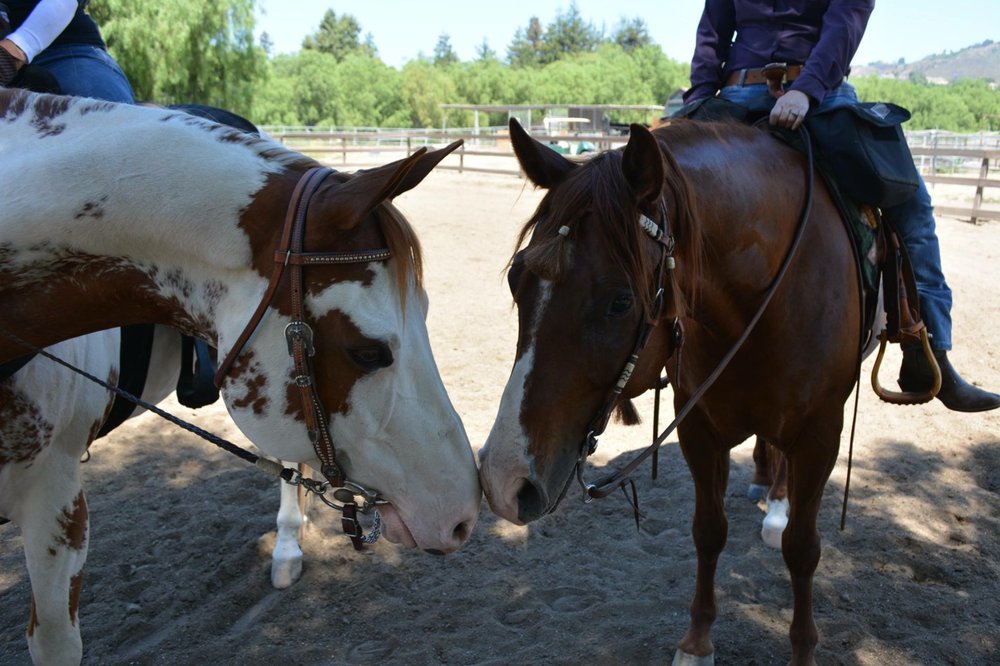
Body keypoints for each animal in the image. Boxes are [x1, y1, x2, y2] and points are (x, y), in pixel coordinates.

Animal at [479, 118, 863, 665]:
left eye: (621, 301)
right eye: (516, 279)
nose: (502, 480)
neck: (768, 299)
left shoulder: (820, 435)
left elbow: (803, 549)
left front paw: (803, 650)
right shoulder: (699, 426)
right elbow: (708, 530)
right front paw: (697, 642)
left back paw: (777, 504)